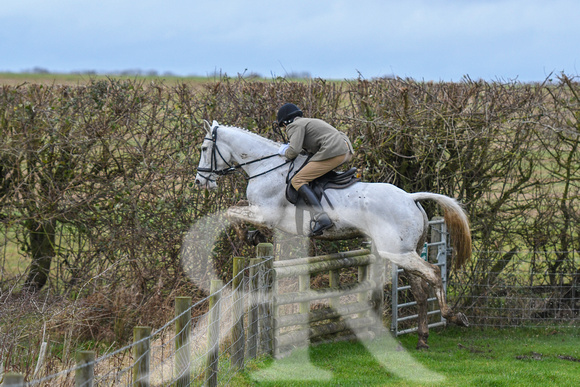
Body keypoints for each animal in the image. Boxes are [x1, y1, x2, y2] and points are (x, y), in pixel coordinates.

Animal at [195, 119, 472, 342]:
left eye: (204, 149)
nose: (200, 181)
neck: (266, 167)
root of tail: (411, 197)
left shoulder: (265, 213)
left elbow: (232, 213)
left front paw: (251, 237)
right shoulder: (257, 209)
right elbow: (237, 208)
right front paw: (253, 236)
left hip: (396, 251)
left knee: (433, 273)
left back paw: (453, 316)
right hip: (405, 251)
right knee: (419, 289)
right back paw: (423, 337)